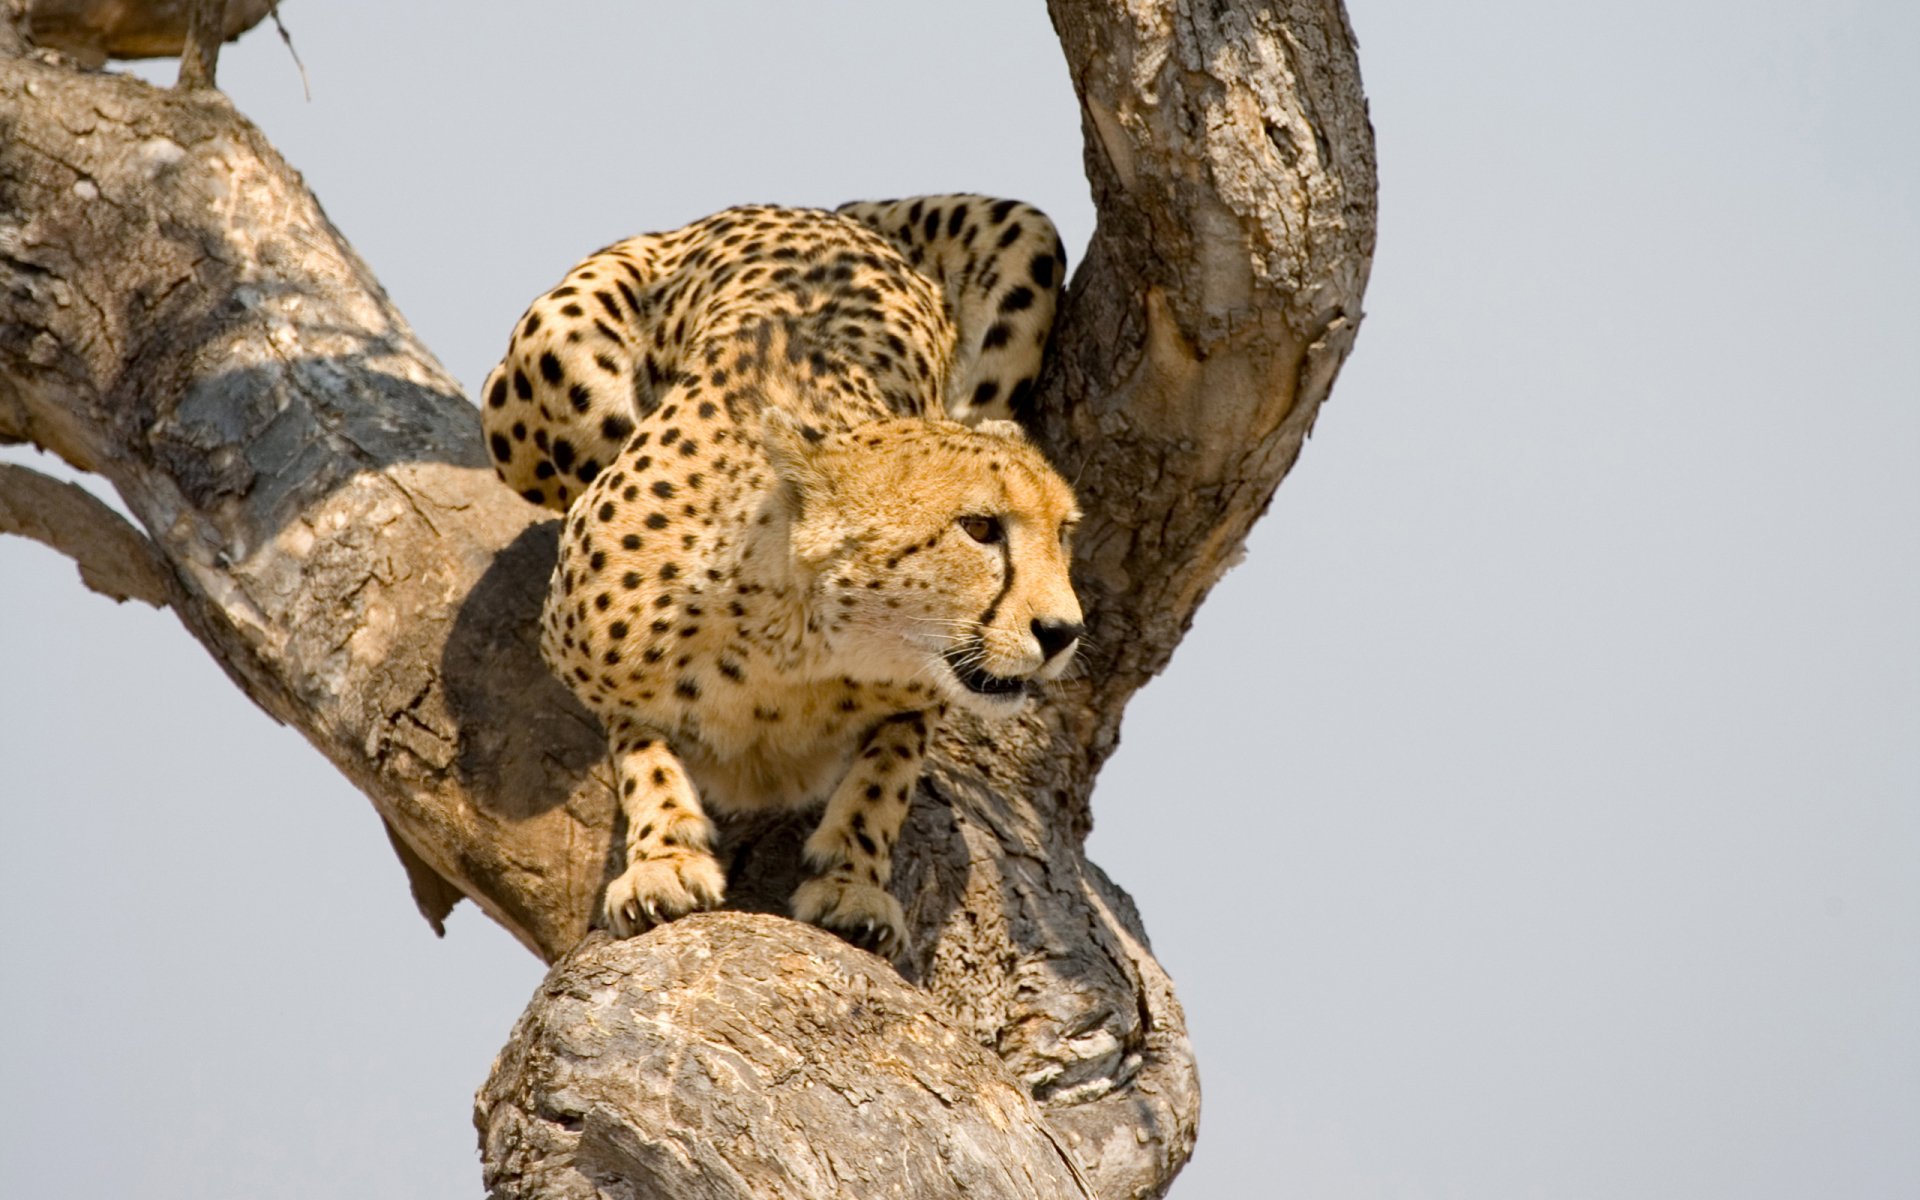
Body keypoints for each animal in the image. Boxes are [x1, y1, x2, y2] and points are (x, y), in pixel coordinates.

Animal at [480, 195, 1082, 959]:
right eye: (980, 528)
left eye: (1063, 533)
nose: (1064, 632)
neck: (794, 645)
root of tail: (820, 210)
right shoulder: (585, 650)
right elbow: (640, 745)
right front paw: (664, 857)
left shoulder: (919, 695)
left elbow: (890, 767)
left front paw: (853, 879)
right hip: (547, 372)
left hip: (1029, 238)